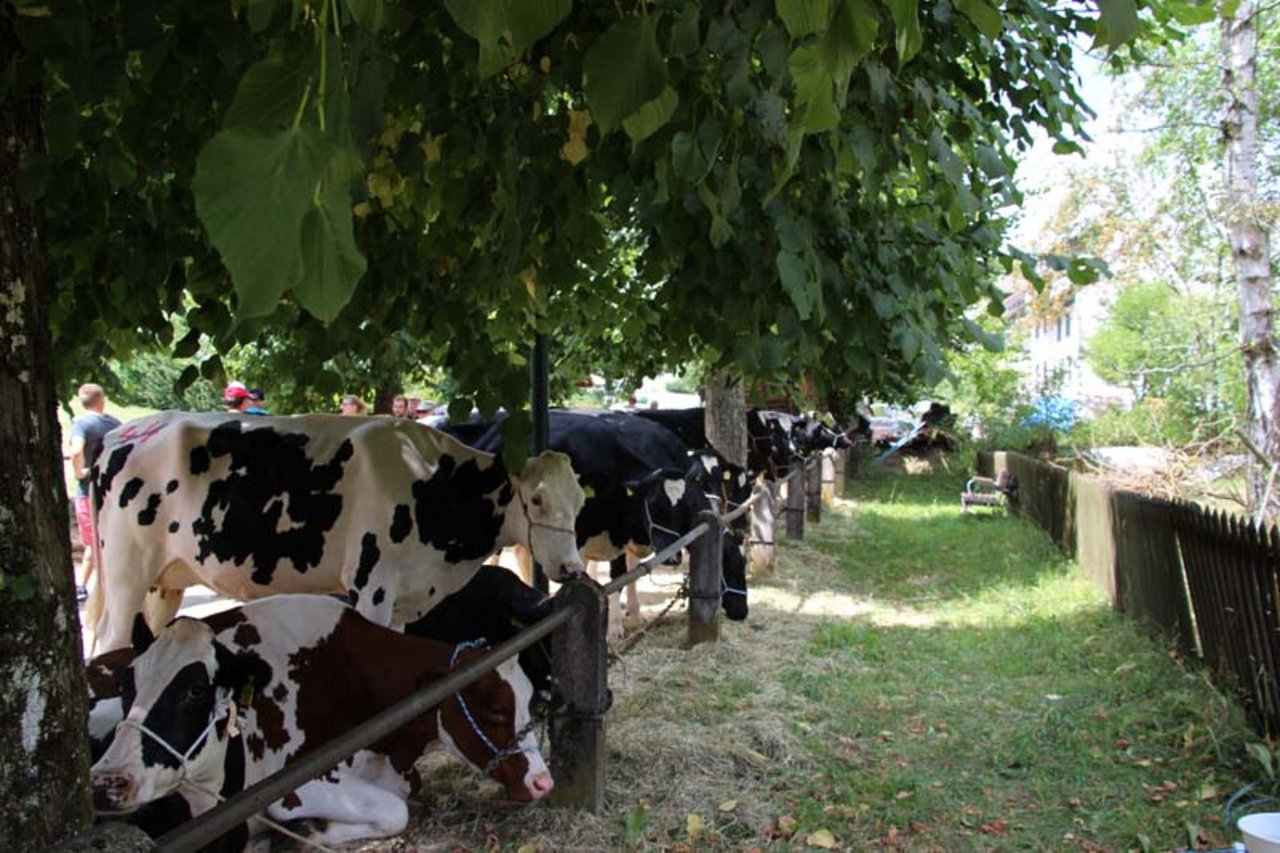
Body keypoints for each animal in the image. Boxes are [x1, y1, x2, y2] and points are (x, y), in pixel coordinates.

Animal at [87, 412, 586, 650]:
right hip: (127, 573)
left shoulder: (405, 598)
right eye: (536, 499)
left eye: (580, 501)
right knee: (111, 643)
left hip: (164, 583)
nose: (572, 568)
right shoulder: (371, 586)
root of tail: (123, 433)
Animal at [90, 591, 550, 845]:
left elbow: (404, 803)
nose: (542, 782)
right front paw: (303, 833)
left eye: (529, 700)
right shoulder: (287, 787)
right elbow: (395, 812)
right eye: (495, 709)